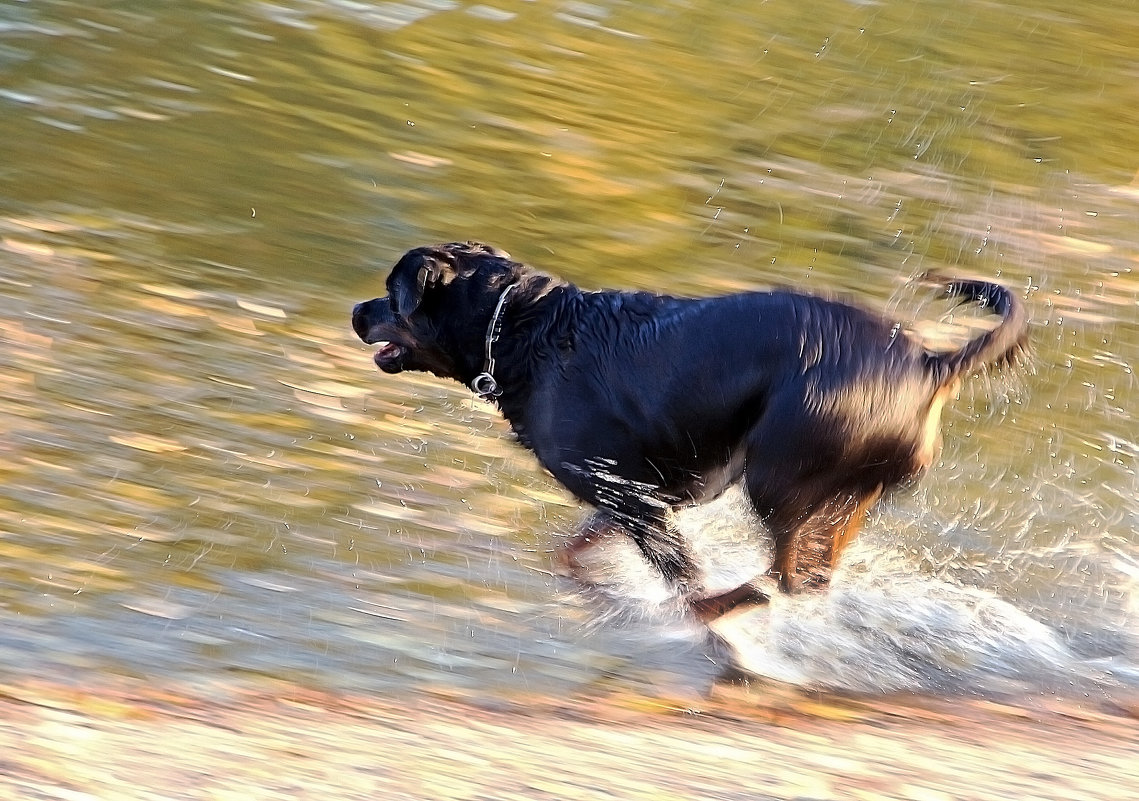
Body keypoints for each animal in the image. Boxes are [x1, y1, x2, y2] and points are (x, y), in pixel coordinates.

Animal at [350, 241, 1029, 624]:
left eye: (389, 294)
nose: (356, 310)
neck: (526, 332)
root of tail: (928, 362)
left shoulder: (631, 495)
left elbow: (679, 571)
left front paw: (685, 603)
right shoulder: (659, 490)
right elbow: (573, 551)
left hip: (779, 473)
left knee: (787, 575)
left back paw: (743, 599)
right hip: (841, 489)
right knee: (813, 571)